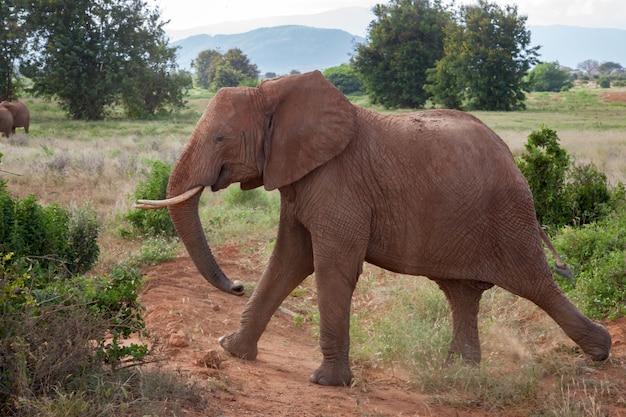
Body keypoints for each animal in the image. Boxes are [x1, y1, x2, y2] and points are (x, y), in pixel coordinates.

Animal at [136, 70, 608, 386]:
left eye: (220, 139)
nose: (235, 285)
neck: (274, 92)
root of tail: (513, 160)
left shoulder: (338, 183)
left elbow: (330, 268)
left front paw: (326, 382)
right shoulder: (301, 179)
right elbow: (288, 261)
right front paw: (230, 349)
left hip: (508, 218)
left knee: (537, 284)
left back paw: (600, 351)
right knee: (462, 293)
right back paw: (459, 370)